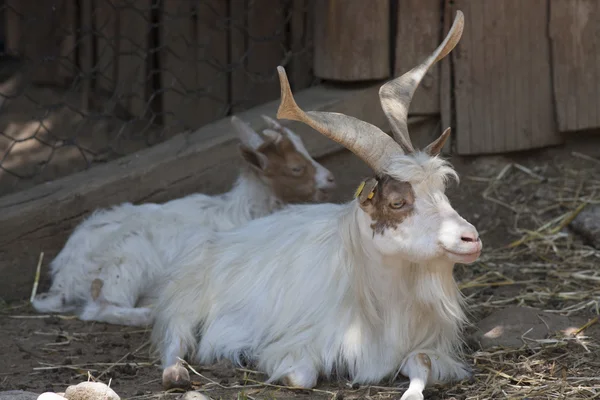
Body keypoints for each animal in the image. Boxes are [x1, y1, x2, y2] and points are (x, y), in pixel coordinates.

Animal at [30, 114, 336, 326]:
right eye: (296, 168)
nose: (331, 179)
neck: (244, 211)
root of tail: (64, 277)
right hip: (126, 261)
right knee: (98, 308)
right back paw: (146, 313)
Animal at [151, 10, 482, 398]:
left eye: (442, 188)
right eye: (398, 202)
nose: (470, 238)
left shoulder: (424, 343)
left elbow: (424, 363)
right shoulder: (303, 341)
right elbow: (300, 376)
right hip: (186, 294)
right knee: (175, 336)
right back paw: (176, 373)